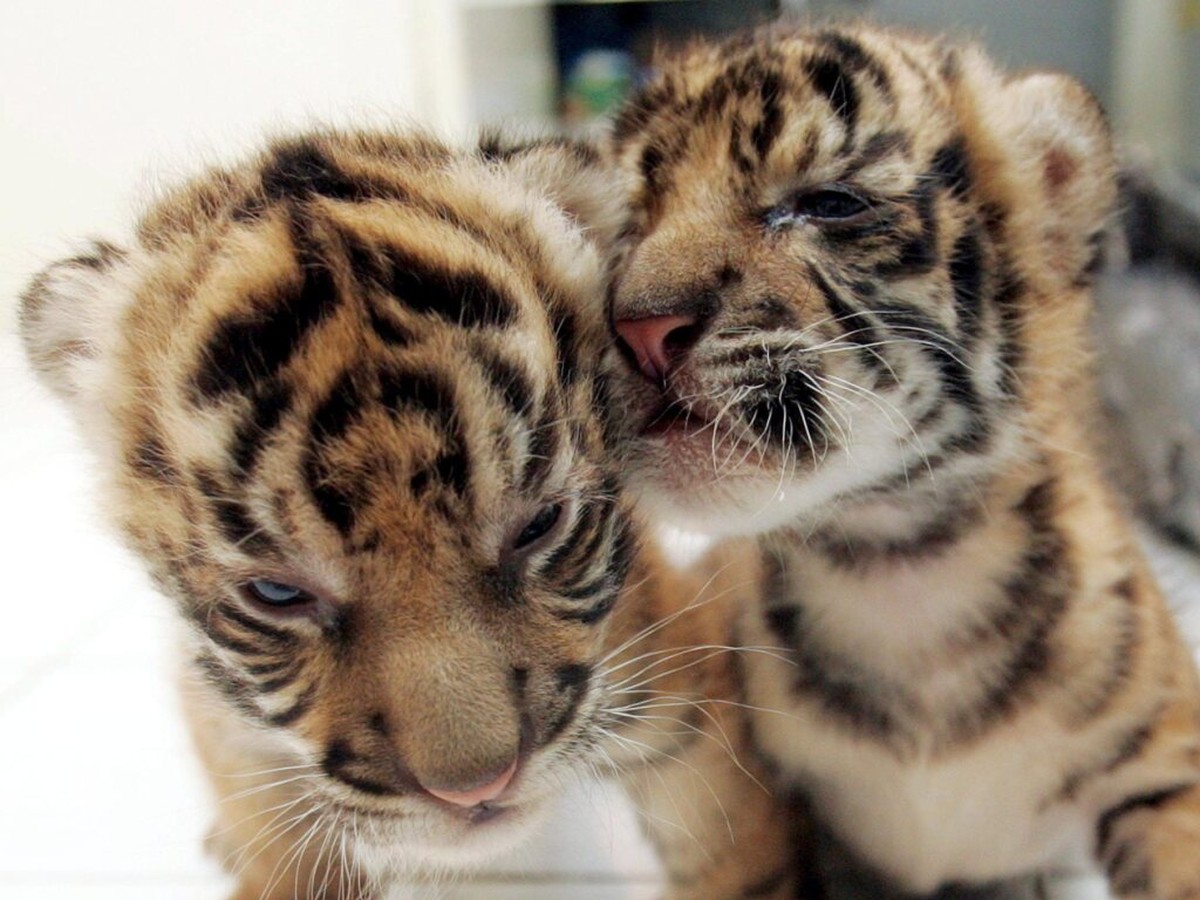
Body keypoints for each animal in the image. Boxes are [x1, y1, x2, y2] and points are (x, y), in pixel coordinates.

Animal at [18, 128, 803, 899]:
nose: (477, 788)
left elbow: (729, 846)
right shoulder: (230, 721)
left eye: (538, 526)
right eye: (275, 592)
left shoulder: (671, 680)